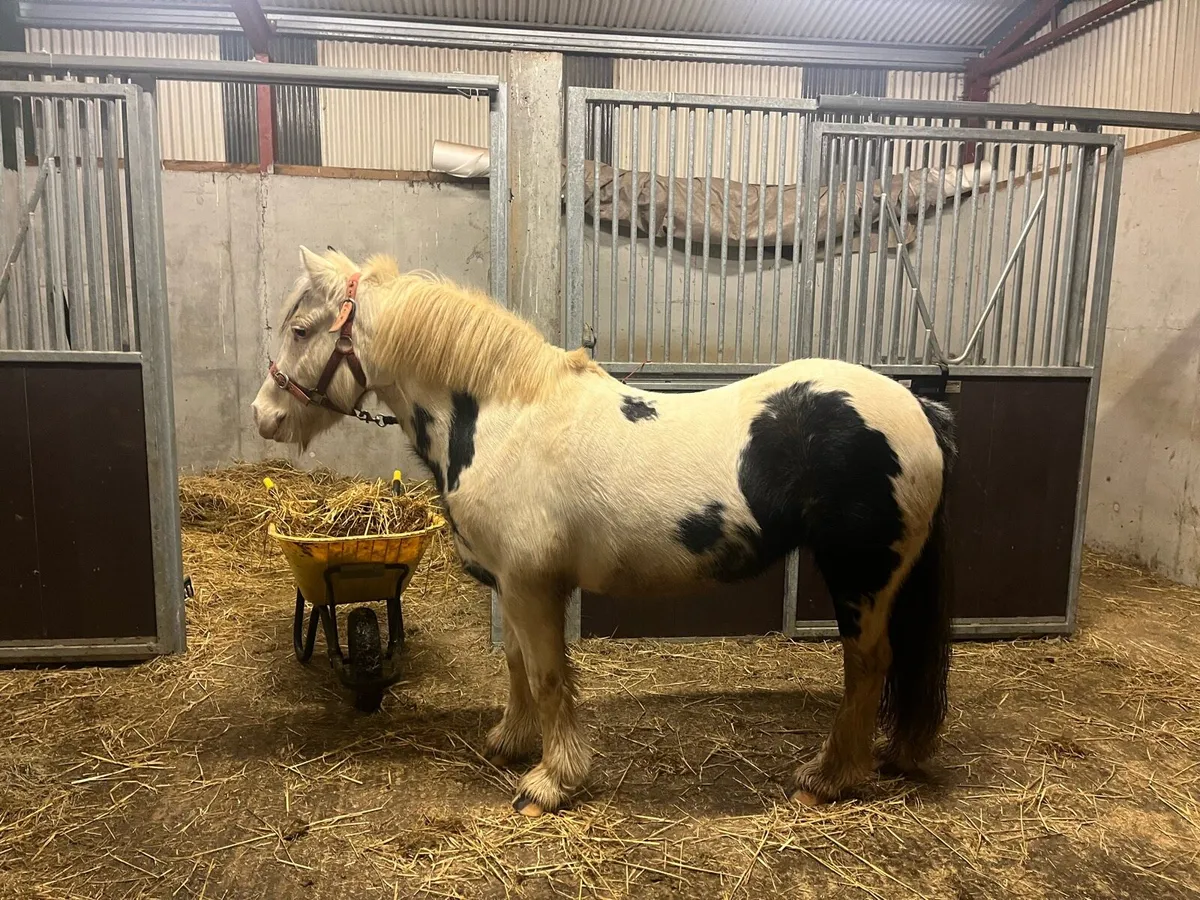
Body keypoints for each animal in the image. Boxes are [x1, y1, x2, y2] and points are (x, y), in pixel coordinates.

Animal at [251, 247, 957, 817]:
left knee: (866, 666)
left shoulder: (531, 586)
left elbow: (547, 675)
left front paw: (550, 783)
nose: (265, 415)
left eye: (300, 329)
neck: (506, 417)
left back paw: (828, 779)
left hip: (861, 578)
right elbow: (517, 664)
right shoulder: (511, 586)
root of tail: (917, 406)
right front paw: (511, 742)